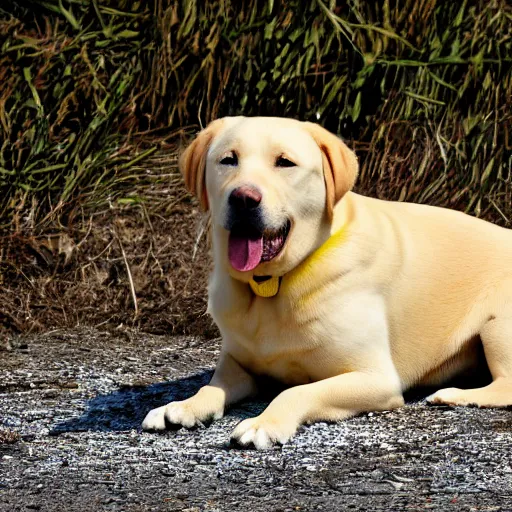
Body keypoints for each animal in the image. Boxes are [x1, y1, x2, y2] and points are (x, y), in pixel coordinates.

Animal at [141, 116, 512, 448]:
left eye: (285, 162)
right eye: (228, 159)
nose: (243, 197)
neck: (273, 284)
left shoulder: (375, 378)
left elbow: (295, 390)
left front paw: (264, 424)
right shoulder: (238, 364)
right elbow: (211, 387)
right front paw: (182, 406)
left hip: (497, 326)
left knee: (506, 386)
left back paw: (454, 395)